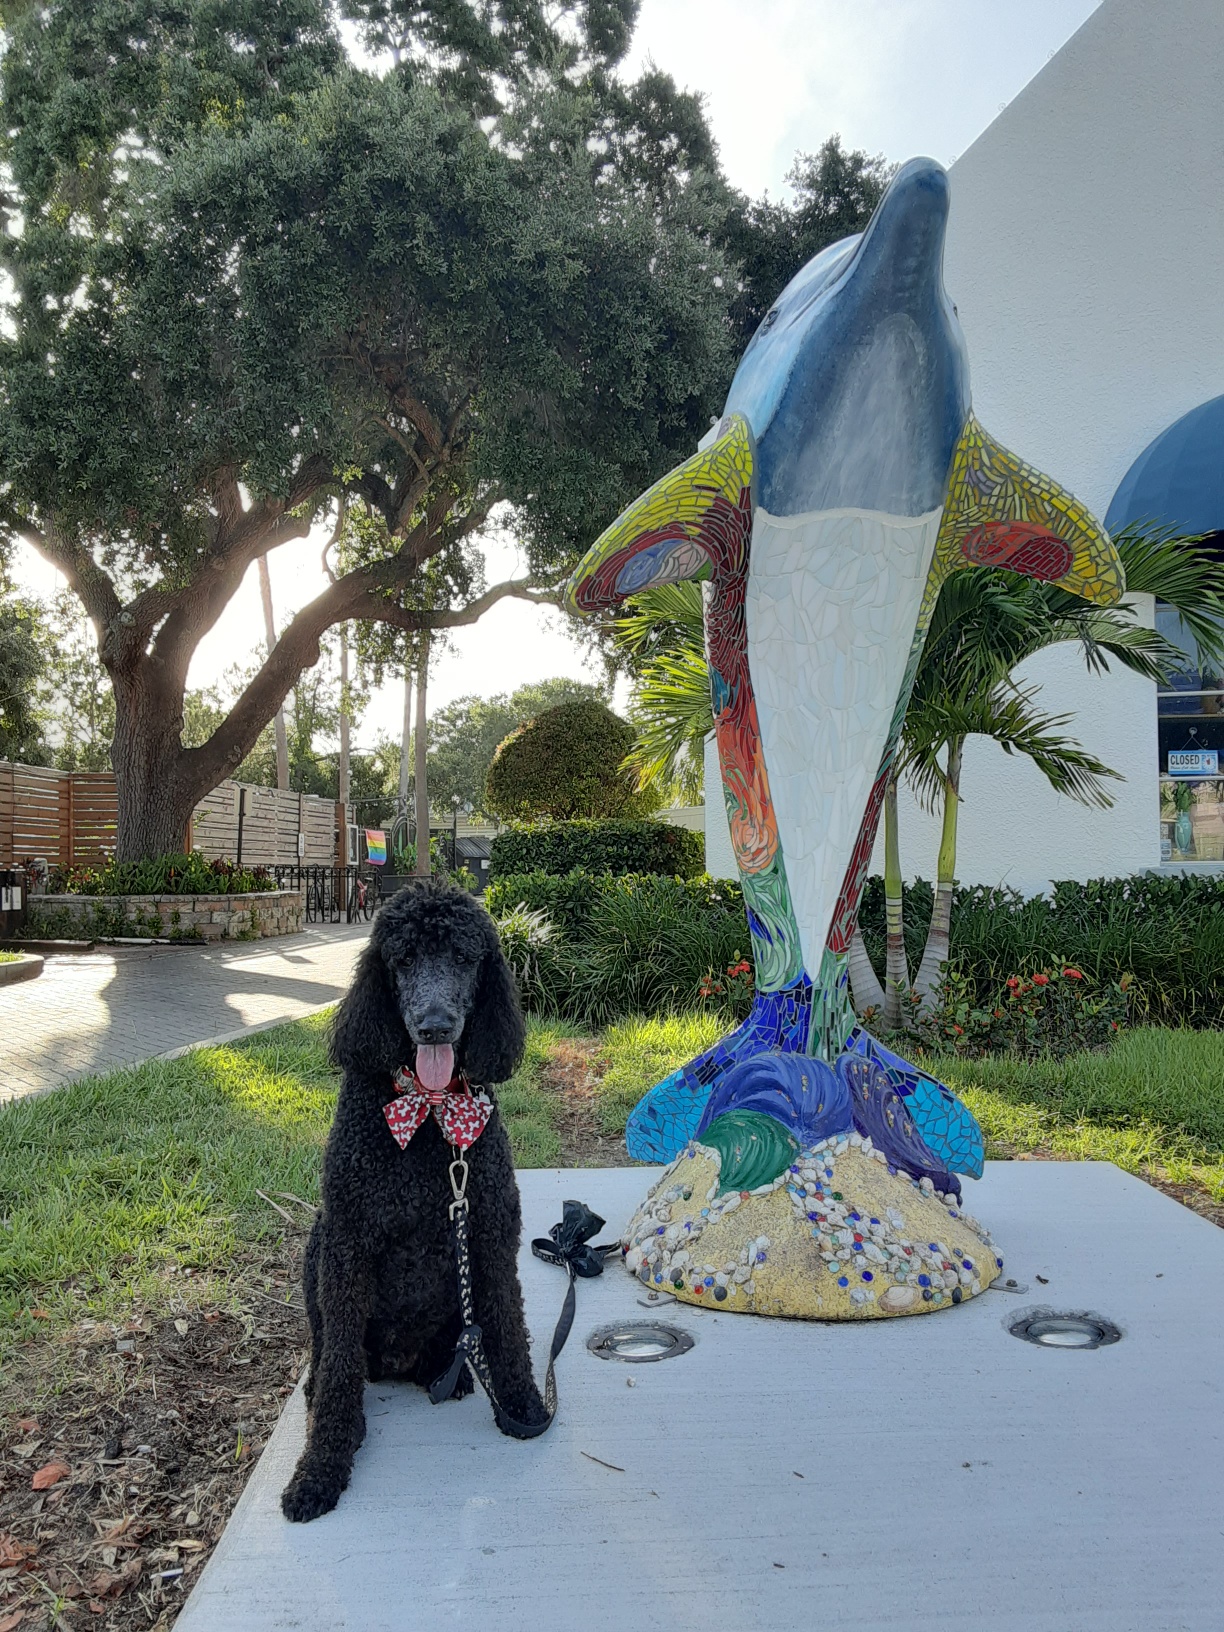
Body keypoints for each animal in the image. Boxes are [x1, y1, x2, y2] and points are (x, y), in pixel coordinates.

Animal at [281, 878, 548, 1523]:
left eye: (464, 958)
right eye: (401, 960)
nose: (433, 1026)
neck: (428, 1111)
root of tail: (399, 1364)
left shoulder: (491, 1233)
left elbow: (509, 1327)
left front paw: (524, 1408)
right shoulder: (347, 1242)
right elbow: (340, 1366)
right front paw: (320, 1469)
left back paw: (450, 1375)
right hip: (317, 1247)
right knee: (330, 1352)